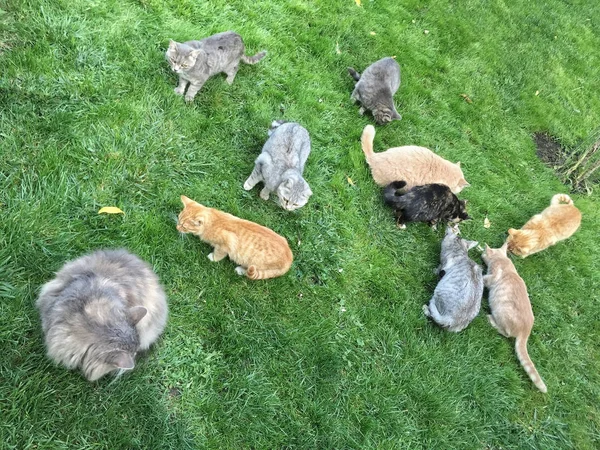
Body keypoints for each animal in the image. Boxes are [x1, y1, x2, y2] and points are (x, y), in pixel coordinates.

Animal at [480, 243, 548, 394]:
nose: (481, 254)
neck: (502, 259)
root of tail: (526, 331)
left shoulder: (493, 275)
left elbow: (484, 278)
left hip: (501, 311)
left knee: (505, 333)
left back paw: (491, 320)